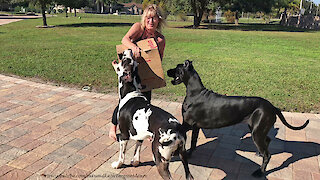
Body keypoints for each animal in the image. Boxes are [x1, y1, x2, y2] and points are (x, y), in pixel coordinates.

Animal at [111, 49, 194, 180]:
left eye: (126, 60)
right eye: (134, 62)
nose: (129, 50)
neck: (130, 92)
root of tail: (177, 132)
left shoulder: (124, 136)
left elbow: (122, 154)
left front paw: (118, 164)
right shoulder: (139, 134)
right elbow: (137, 149)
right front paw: (135, 162)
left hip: (160, 159)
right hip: (183, 156)